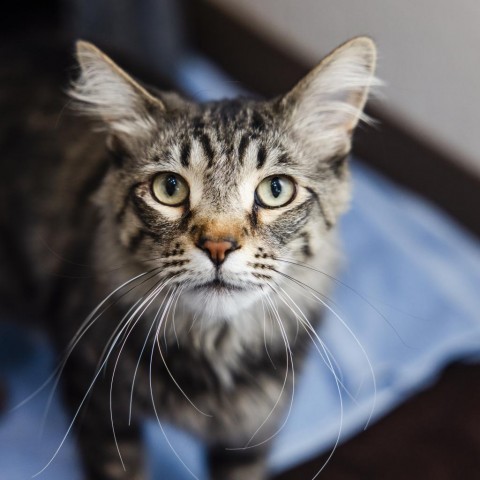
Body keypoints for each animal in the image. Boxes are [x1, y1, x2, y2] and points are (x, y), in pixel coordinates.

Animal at [0, 35, 376, 478]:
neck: (211, 350)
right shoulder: (97, 405)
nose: (218, 246)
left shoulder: (251, 434)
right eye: (170, 188)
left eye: (276, 190)